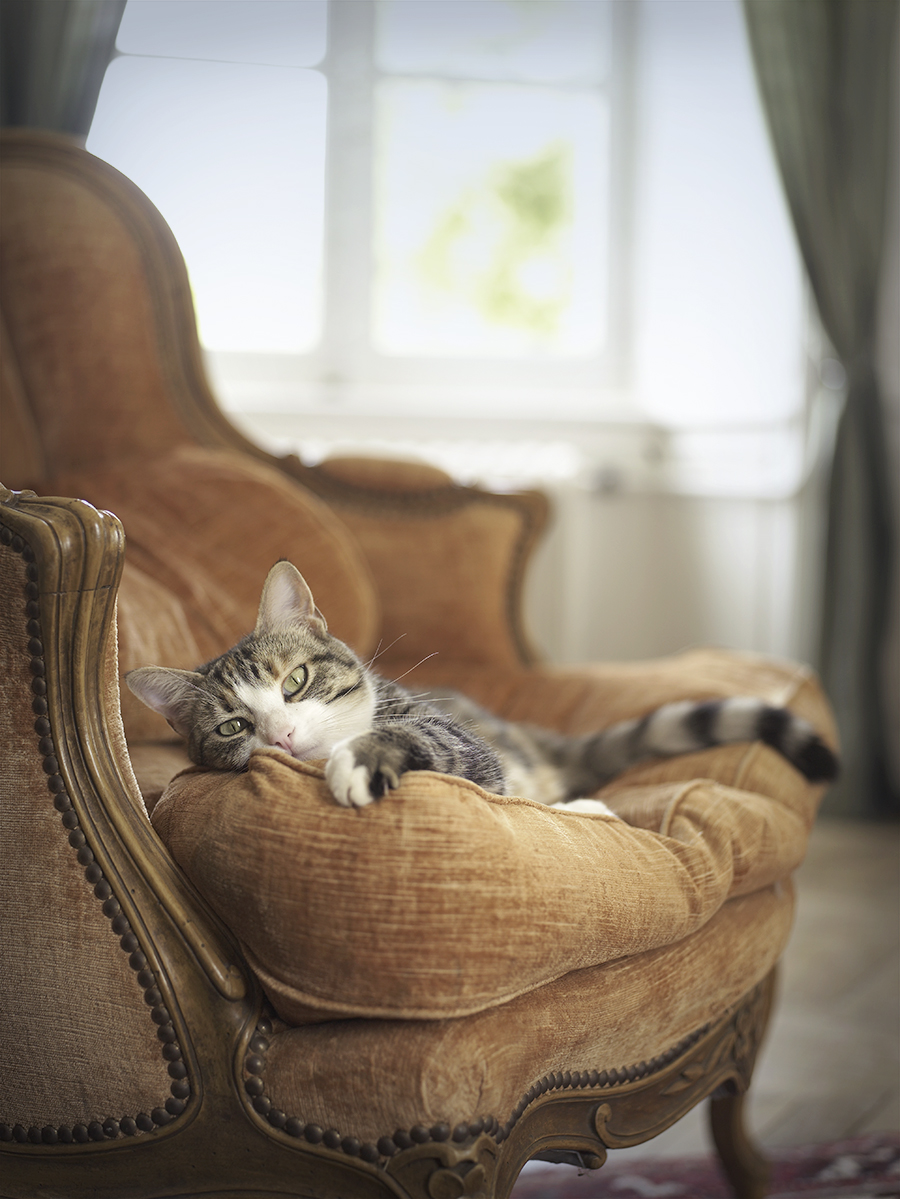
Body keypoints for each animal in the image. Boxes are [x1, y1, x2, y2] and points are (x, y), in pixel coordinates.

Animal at [125, 556, 838, 810]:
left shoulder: (464, 743)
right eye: (233, 726)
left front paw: (359, 759)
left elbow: (424, 739)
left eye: (295, 681)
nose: (282, 737)